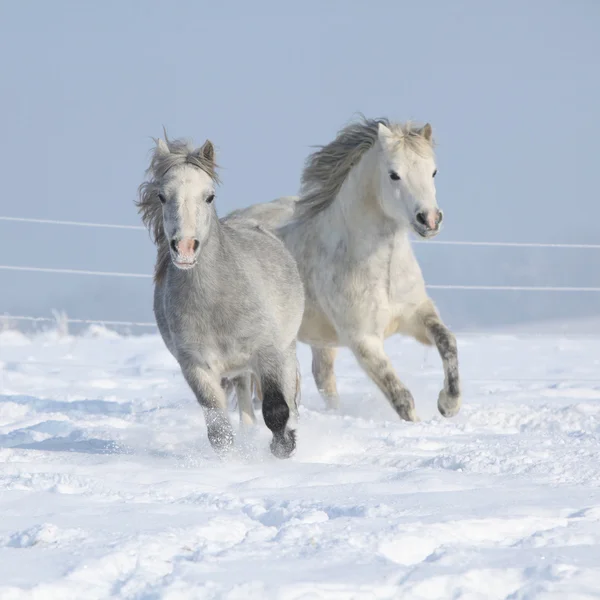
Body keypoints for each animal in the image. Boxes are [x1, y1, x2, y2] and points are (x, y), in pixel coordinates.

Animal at [229, 117, 460, 422]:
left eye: (433, 171)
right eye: (394, 174)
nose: (430, 220)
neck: (382, 271)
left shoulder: (416, 315)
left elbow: (448, 342)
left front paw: (449, 404)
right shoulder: (363, 340)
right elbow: (400, 396)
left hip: (319, 340)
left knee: (322, 377)